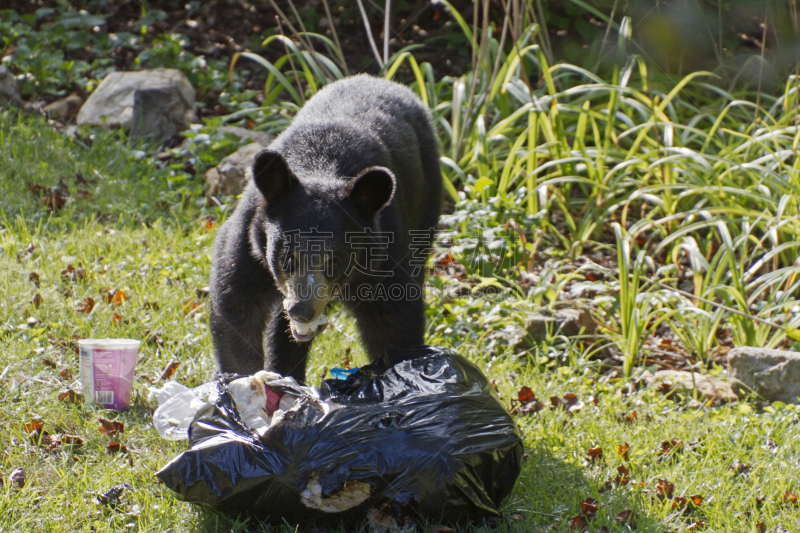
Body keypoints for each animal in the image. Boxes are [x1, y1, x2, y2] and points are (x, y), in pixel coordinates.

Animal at [209, 76, 440, 382]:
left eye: (334, 262)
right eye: (286, 257)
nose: (301, 311)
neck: (321, 166)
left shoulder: (384, 252)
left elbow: (393, 320)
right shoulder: (250, 242)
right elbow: (237, 307)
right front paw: (245, 379)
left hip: (426, 205)